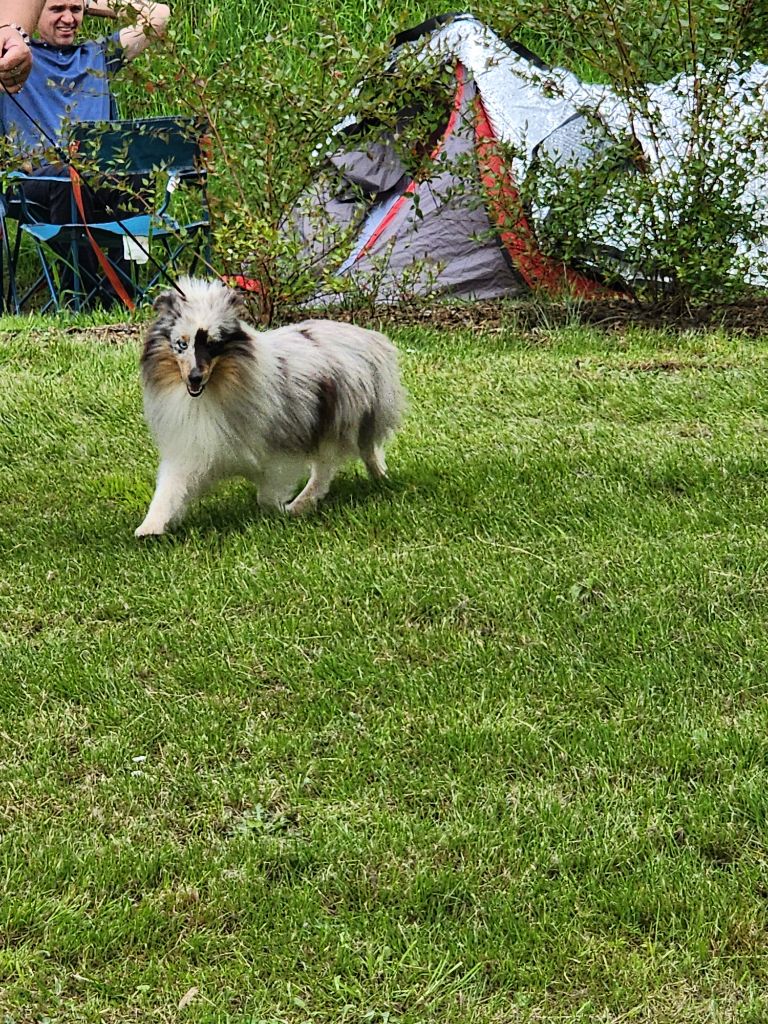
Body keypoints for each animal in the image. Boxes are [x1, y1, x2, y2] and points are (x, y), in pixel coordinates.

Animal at [137, 276, 409, 540]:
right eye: (181, 344)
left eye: (212, 344)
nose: (194, 378)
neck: (218, 387)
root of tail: (365, 334)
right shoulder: (190, 451)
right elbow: (169, 491)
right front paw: (149, 528)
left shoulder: (281, 449)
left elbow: (267, 496)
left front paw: (282, 511)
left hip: (342, 417)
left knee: (343, 460)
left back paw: (315, 499)